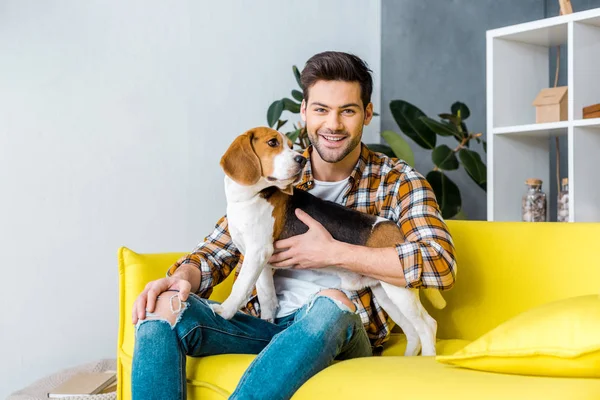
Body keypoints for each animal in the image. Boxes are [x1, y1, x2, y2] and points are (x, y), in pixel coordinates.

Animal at [211, 126, 446, 354]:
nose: (301, 159)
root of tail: (395, 229)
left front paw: (224, 311)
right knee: (412, 332)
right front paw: (267, 321)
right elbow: (267, 297)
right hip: (386, 293)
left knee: (428, 325)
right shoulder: (263, 264)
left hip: (400, 290)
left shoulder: (258, 253)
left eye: (290, 146)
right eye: (272, 143)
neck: (248, 198)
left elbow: (240, 287)